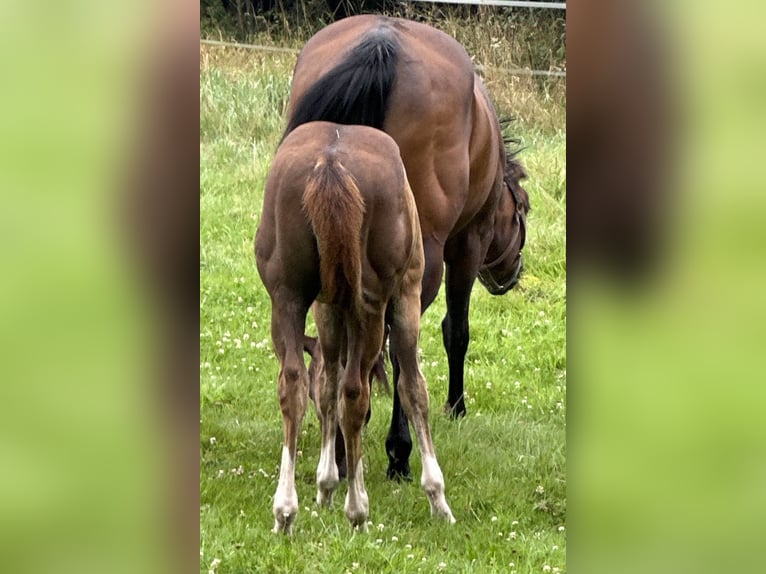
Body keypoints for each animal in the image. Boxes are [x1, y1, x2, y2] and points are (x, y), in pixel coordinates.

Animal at [255, 121, 456, 536]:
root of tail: (329, 162)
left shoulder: (327, 309)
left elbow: (324, 386)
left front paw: (325, 484)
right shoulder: (406, 296)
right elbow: (413, 390)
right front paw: (437, 497)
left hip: (286, 298)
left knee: (293, 384)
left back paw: (285, 510)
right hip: (373, 307)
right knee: (355, 391)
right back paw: (358, 510)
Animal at [284, 14, 536, 482]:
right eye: (521, 209)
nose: (511, 274)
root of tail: (383, 43)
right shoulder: (467, 245)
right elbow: (456, 331)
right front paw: (455, 406)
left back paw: (342, 444)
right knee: (401, 346)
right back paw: (396, 450)